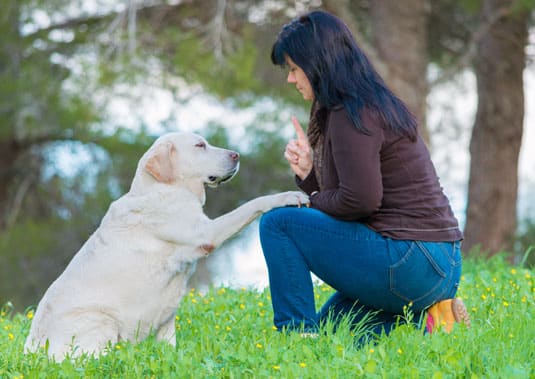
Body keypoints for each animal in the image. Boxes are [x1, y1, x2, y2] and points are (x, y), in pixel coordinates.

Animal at [24, 132, 310, 360]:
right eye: (200, 145)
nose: (236, 155)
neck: (164, 188)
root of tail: (32, 351)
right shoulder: (206, 232)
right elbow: (251, 204)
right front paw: (286, 196)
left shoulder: (167, 317)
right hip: (100, 319)